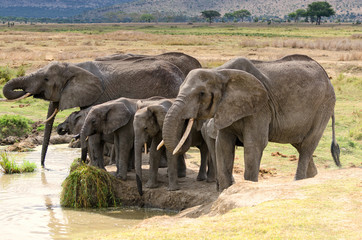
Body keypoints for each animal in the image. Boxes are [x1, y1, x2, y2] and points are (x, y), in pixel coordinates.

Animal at [163, 54, 340, 191]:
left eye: (201, 93)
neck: (220, 72)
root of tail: (327, 77)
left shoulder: (261, 106)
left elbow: (253, 144)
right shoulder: (227, 107)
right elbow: (223, 145)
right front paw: (225, 192)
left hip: (324, 105)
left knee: (307, 144)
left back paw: (299, 181)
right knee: (299, 143)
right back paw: (312, 178)